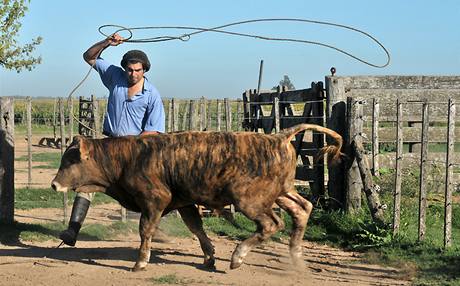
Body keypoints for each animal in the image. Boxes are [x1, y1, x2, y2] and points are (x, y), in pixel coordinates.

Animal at [51, 124, 342, 272]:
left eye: (70, 160)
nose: (54, 184)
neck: (128, 158)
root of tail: (278, 137)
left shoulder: (155, 200)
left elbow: (146, 230)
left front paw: (140, 262)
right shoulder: (185, 202)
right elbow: (196, 228)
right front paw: (209, 256)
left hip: (249, 200)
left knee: (272, 224)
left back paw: (238, 256)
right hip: (282, 192)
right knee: (302, 209)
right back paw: (296, 256)